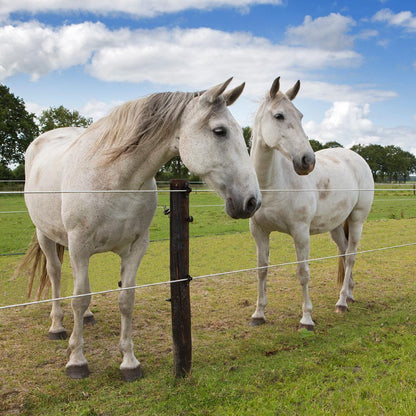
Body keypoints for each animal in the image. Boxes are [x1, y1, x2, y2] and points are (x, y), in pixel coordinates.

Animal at [18, 78, 264, 380]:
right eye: (220, 131)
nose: (252, 201)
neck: (114, 178)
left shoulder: (136, 247)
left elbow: (126, 299)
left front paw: (129, 362)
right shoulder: (79, 246)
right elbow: (79, 297)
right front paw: (77, 360)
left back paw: (86, 319)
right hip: (46, 236)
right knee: (55, 274)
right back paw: (57, 326)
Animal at [249, 77, 376, 332]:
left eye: (300, 116)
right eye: (279, 116)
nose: (307, 161)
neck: (273, 184)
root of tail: (357, 158)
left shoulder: (300, 233)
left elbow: (303, 273)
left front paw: (306, 319)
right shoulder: (259, 232)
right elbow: (261, 270)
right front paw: (258, 314)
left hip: (357, 219)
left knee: (350, 255)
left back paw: (341, 303)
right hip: (336, 226)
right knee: (343, 252)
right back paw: (348, 294)